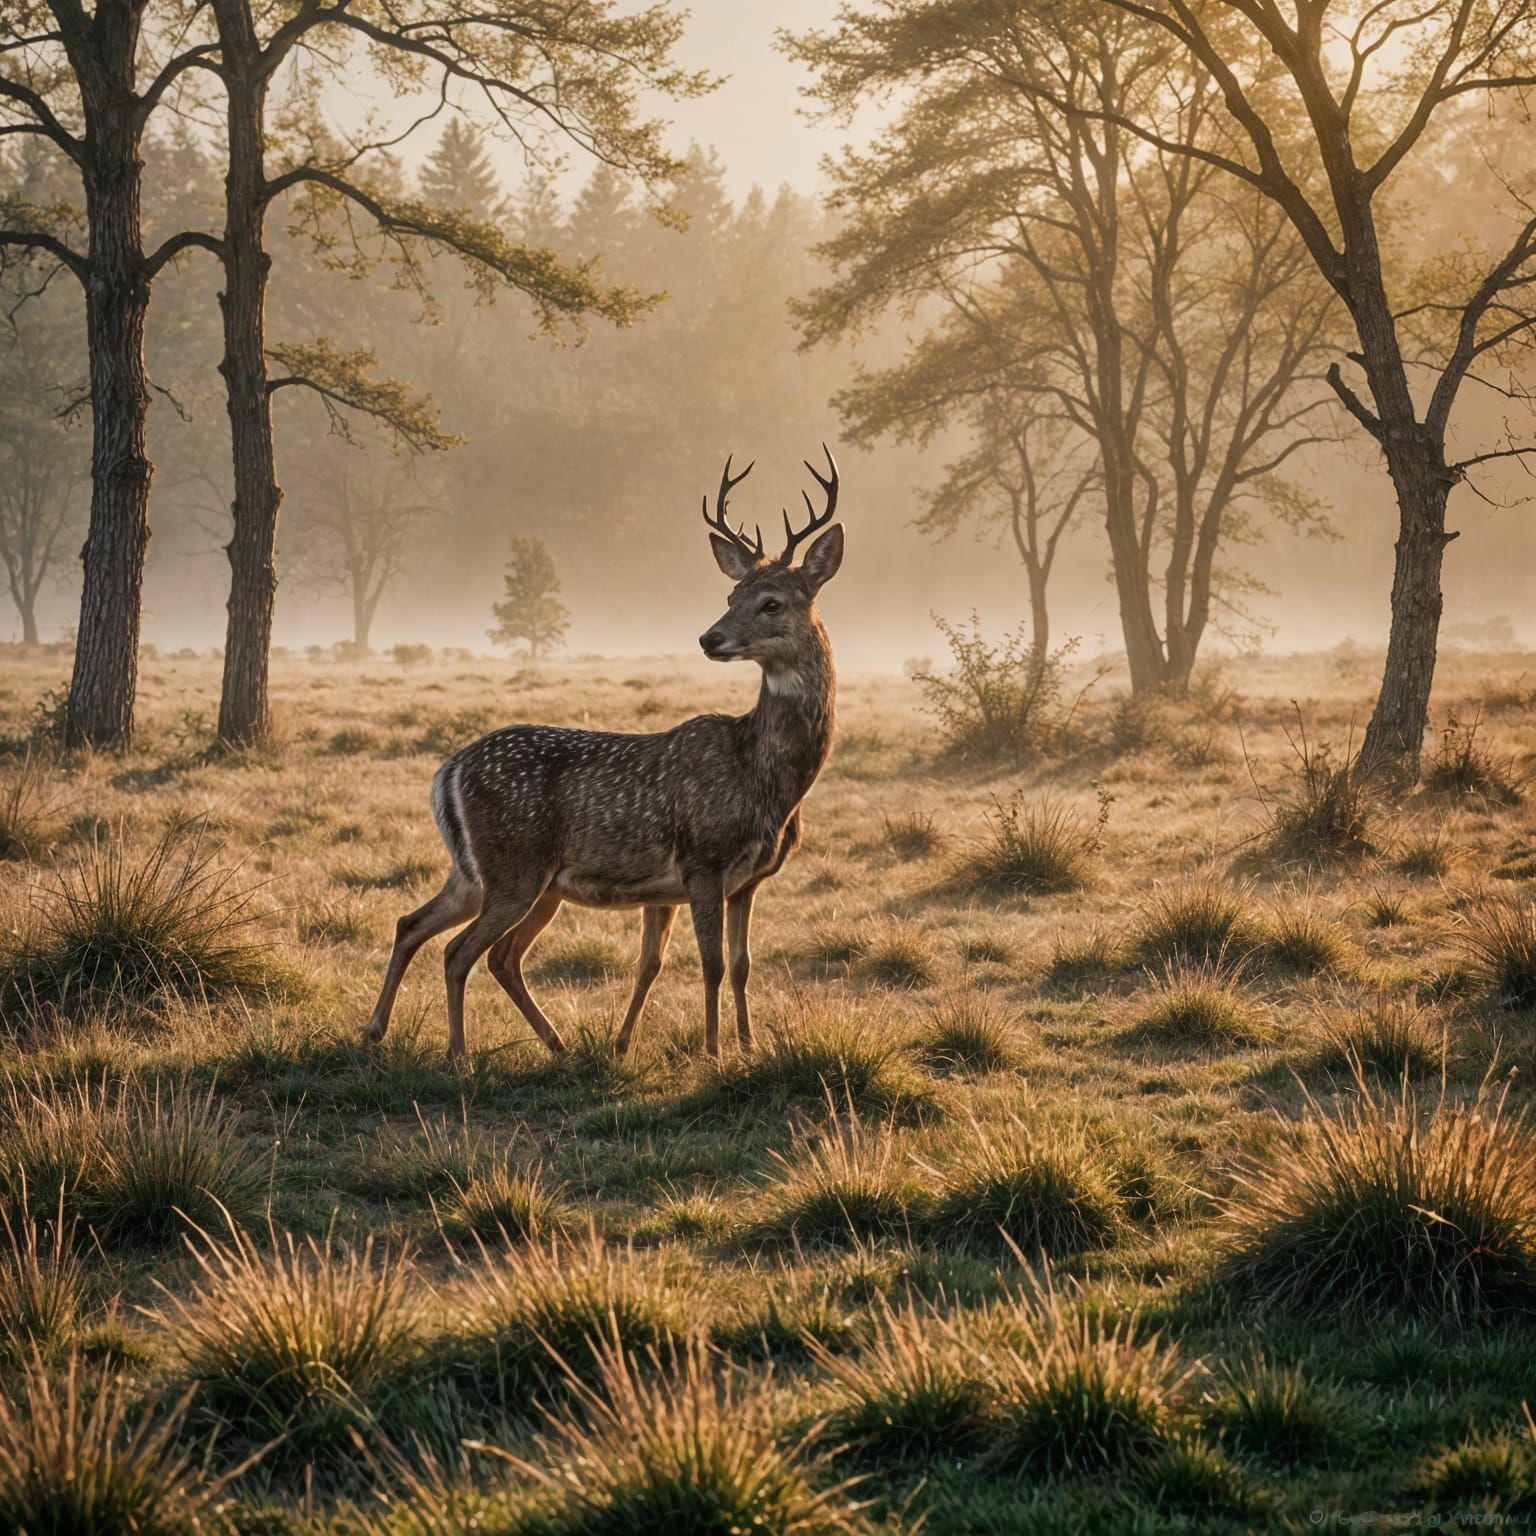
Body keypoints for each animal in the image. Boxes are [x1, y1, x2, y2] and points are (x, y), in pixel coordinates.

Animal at [363, 448, 843, 1062]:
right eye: (730, 596)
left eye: (772, 602)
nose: (709, 638)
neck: (765, 779)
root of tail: (448, 771)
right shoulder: (703, 859)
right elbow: (710, 965)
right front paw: (713, 1054)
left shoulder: (747, 880)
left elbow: (738, 965)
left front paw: (746, 1046)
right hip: (515, 865)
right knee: (461, 952)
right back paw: (461, 1056)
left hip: (484, 873)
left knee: (426, 928)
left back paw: (396, 1031)